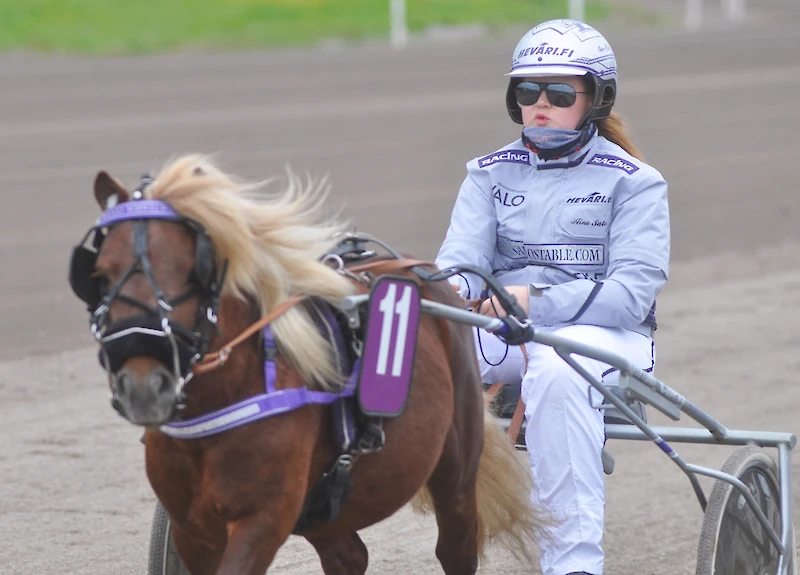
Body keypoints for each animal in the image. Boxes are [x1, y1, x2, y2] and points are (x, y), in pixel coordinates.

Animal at [67, 154, 552, 575]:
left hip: (455, 473)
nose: (143, 387)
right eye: (101, 274)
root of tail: (429, 276)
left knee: (455, 546)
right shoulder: (193, 529)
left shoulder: (262, 521)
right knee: (349, 556)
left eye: (194, 269)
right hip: (327, 508)